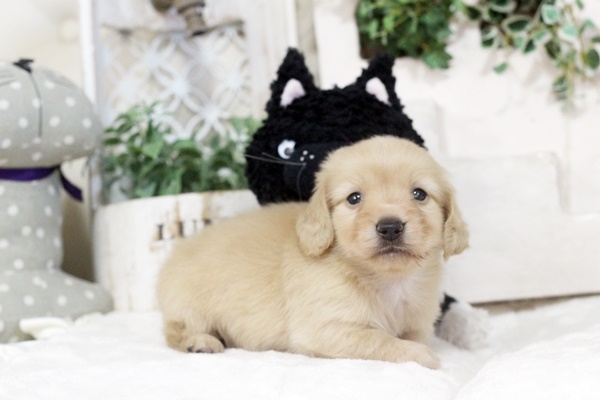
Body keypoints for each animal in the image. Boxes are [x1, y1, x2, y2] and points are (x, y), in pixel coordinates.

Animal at [156, 136, 469, 369]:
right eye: (354, 198)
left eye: (419, 194)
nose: (390, 227)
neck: (387, 280)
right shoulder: (326, 330)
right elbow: (381, 341)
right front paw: (420, 355)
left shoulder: (418, 324)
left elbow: (412, 337)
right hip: (191, 307)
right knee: (173, 330)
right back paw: (200, 342)